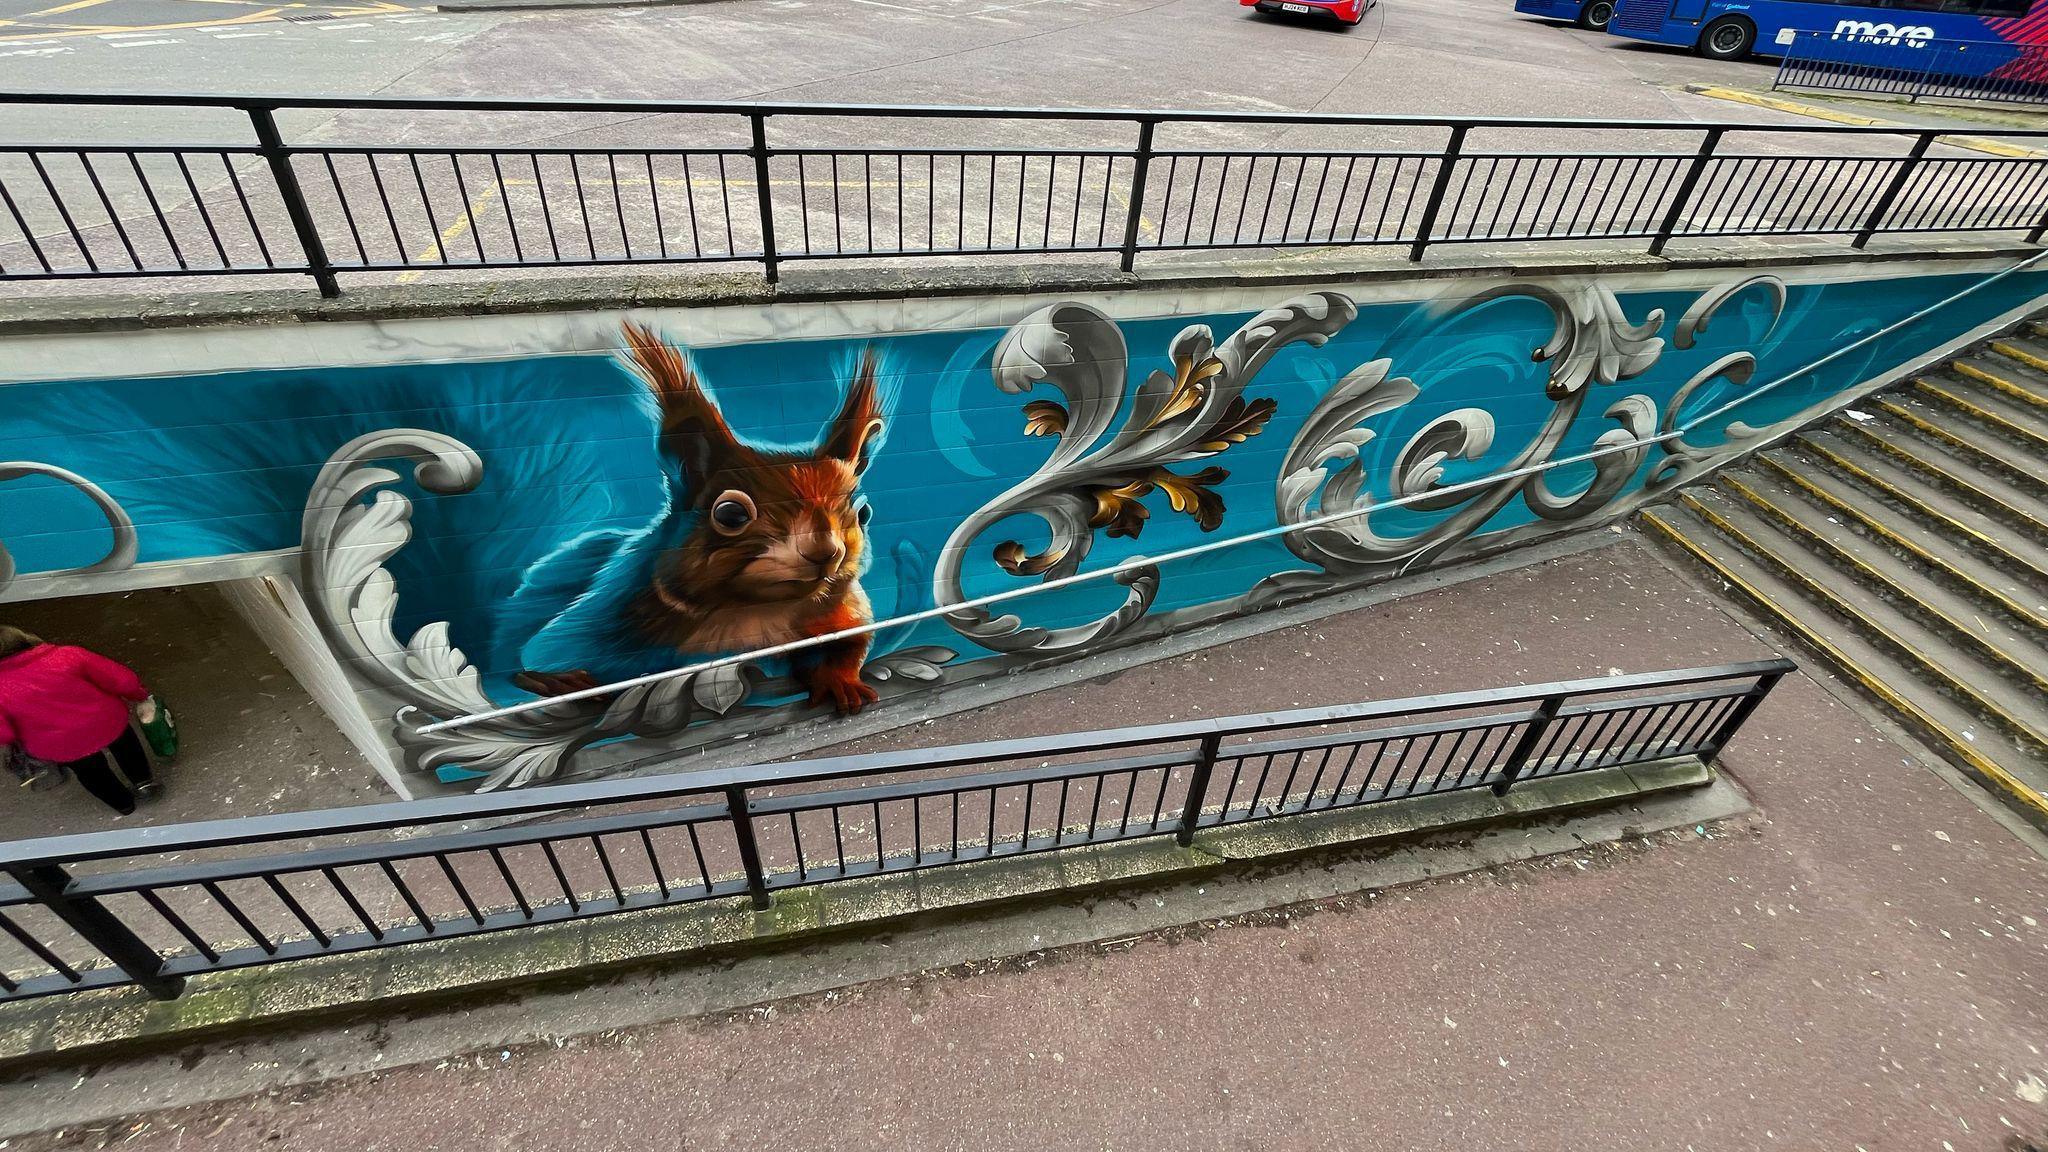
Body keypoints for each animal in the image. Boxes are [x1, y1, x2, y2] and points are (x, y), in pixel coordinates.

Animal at [507, 319, 884, 709]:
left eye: (863, 513)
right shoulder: (592, 624)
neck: (756, 610)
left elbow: (852, 643)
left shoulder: (841, 613)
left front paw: (839, 681)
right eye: (730, 515)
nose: (826, 552)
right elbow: (548, 653)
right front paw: (561, 679)